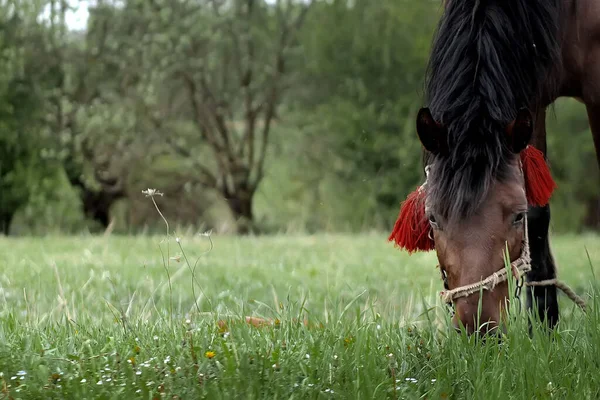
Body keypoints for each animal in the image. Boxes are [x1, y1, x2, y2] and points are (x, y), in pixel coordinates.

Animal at [390, 0, 600, 336]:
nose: (477, 327)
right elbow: (539, 210)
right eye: (433, 218)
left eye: (516, 217)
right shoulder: (529, 90)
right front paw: (543, 324)